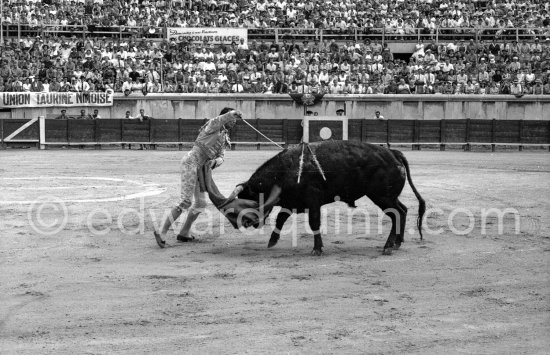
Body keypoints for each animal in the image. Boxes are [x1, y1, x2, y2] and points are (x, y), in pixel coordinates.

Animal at [202, 140, 426, 254]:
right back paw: (397, 242)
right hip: (388, 196)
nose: (248, 224)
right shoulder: (292, 201)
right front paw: (272, 241)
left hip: (381, 196)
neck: (287, 169)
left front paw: (317, 249)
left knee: (396, 214)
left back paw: (388, 246)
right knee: (403, 211)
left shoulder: (313, 201)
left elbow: (314, 223)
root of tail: (394, 153)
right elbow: (281, 218)